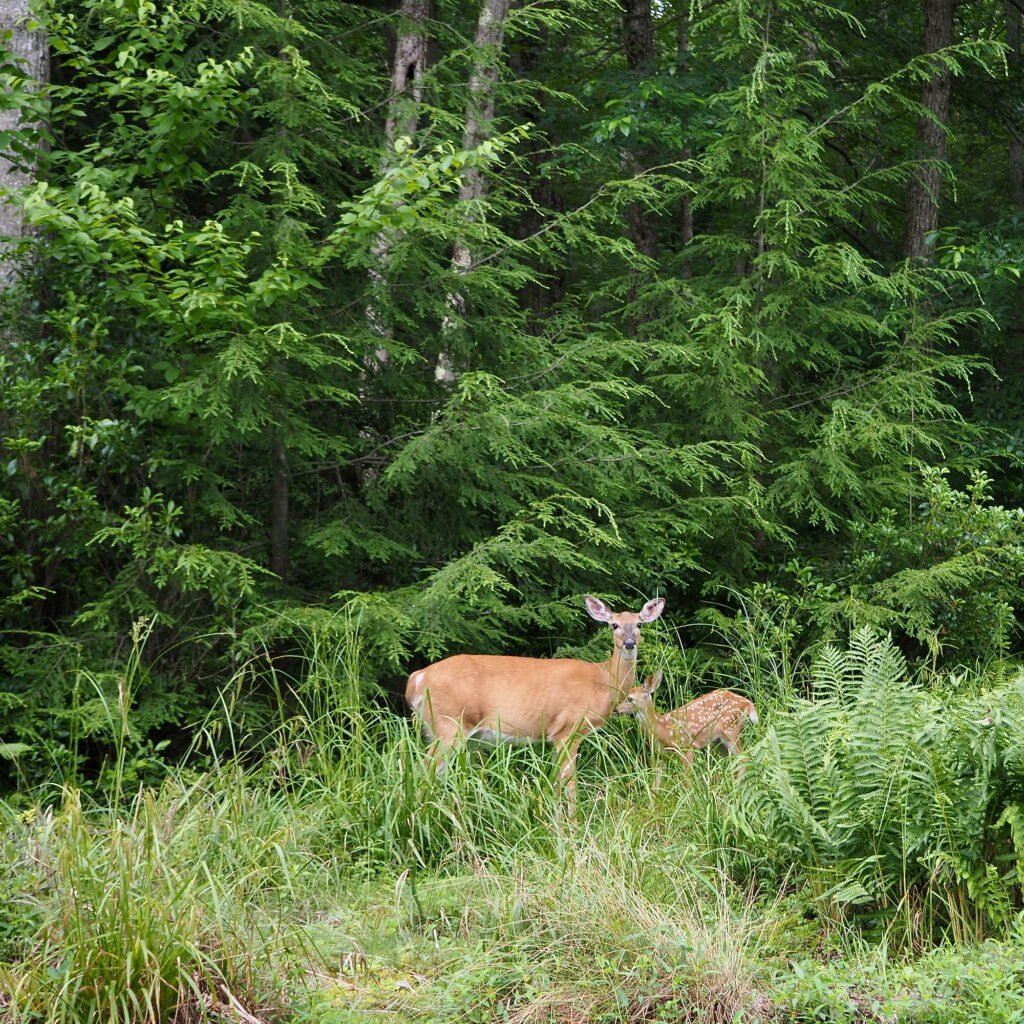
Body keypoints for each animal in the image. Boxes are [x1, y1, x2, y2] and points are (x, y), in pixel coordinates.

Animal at [405, 594, 665, 815]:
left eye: (639, 624)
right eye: (614, 625)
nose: (629, 643)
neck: (602, 680)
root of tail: (417, 679)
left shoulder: (555, 736)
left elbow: (557, 782)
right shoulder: (568, 729)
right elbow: (570, 783)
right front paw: (573, 824)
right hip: (449, 725)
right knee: (420, 773)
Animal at [616, 670, 758, 786]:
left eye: (630, 699)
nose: (616, 709)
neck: (662, 728)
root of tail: (748, 703)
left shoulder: (687, 747)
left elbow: (686, 781)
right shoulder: (661, 756)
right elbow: (655, 785)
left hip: (730, 730)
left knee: (744, 759)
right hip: (719, 741)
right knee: (736, 761)